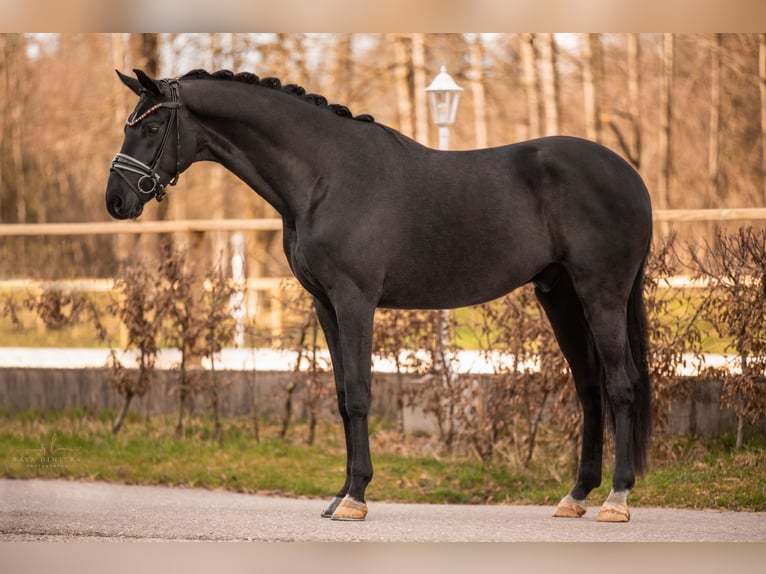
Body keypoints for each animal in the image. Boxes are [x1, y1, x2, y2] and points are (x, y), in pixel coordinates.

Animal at [106, 69, 653, 523]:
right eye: (128, 126)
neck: (325, 177)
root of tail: (630, 176)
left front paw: (356, 497)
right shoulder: (326, 305)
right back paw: (576, 496)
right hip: (559, 296)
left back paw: (616, 499)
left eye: (151, 129)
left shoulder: (355, 301)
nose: (116, 200)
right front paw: (341, 494)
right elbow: (343, 395)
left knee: (621, 385)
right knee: (589, 388)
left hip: (601, 294)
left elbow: (360, 393)